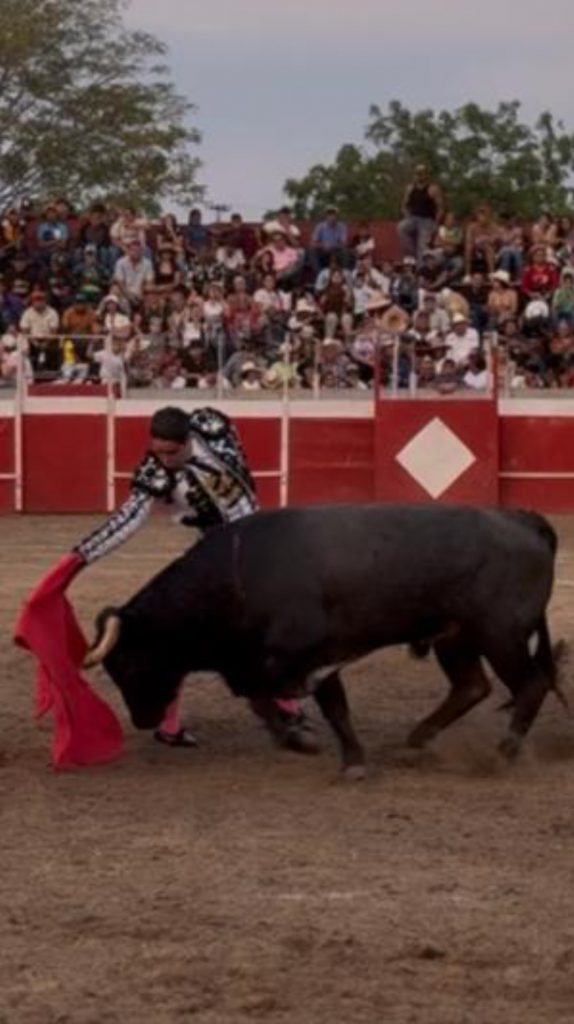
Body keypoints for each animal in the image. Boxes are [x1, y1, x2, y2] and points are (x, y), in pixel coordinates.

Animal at [84, 503, 563, 777]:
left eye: (128, 663)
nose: (142, 719)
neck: (236, 577)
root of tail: (525, 521)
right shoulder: (274, 662)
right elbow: (282, 702)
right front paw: (317, 747)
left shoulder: (305, 655)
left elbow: (305, 701)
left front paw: (333, 754)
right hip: (456, 636)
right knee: (471, 687)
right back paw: (418, 739)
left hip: (500, 634)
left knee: (530, 684)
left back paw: (502, 755)